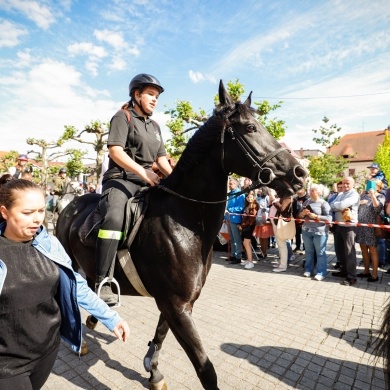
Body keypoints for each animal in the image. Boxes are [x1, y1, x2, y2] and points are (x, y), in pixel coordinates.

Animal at [56, 80, 306, 390]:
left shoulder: (177, 303)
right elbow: (205, 368)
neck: (185, 223)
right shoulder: (176, 304)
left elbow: (161, 335)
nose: (300, 173)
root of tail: (68, 205)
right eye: (250, 128)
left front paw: (153, 371)